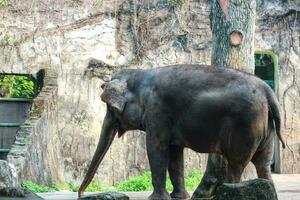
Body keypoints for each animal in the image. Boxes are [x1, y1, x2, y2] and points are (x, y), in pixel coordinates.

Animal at [77, 65, 284, 199]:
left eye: (110, 109)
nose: (81, 194)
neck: (140, 73)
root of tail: (268, 91)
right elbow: (175, 153)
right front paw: (179, 196)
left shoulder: (157, 110)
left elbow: (156, 148)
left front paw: (158, 198)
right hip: (265, 127)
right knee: (263, 163)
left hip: (245, 125)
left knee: (236, 163)